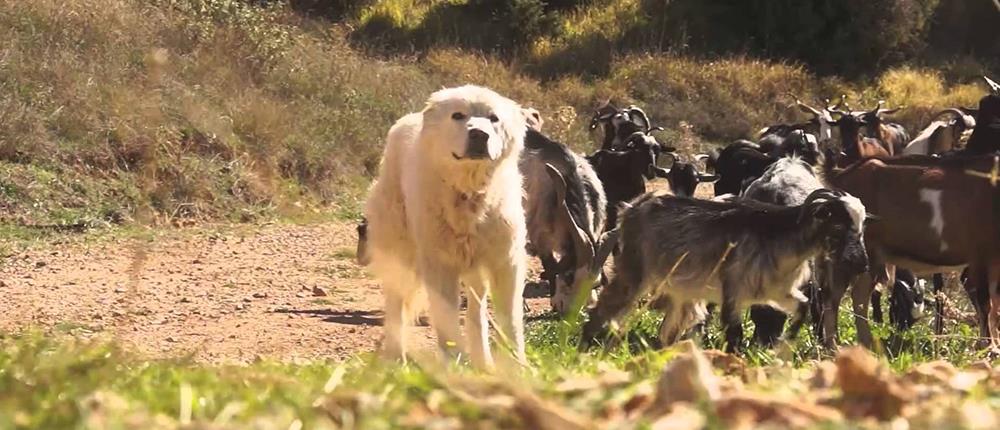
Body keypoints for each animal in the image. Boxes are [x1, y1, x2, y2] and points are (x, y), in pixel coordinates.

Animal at [362, 85, 532, 370]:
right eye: (458, 116)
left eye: (493, 118)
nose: (479, 134)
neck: (468, 193)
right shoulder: (440, 264)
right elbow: (447, 321)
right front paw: (454, 365)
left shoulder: (505, 262)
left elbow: (510, 321)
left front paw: (516, 368)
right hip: (401, 250)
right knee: (395, 303)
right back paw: (396, 359)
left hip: (475, 269)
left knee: (476, 312)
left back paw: (483, 362)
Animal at [520, 129, 612, 314]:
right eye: (569, 277)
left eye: (595, 284)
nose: (570, 313)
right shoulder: (539, 232)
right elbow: (549, 264)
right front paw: (555, 300)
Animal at [584, 189, 872, 352]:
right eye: (839, 226)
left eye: (861, 228)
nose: (862, 264)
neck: (779, 234)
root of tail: (633, 208)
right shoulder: (733, 290)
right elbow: (734, 333)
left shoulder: (774, 292)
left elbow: (801, 308)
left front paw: (784, 345)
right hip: (635, 272)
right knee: (604, 306)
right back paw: (586, 346)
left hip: (680, 293)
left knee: (667, 330)